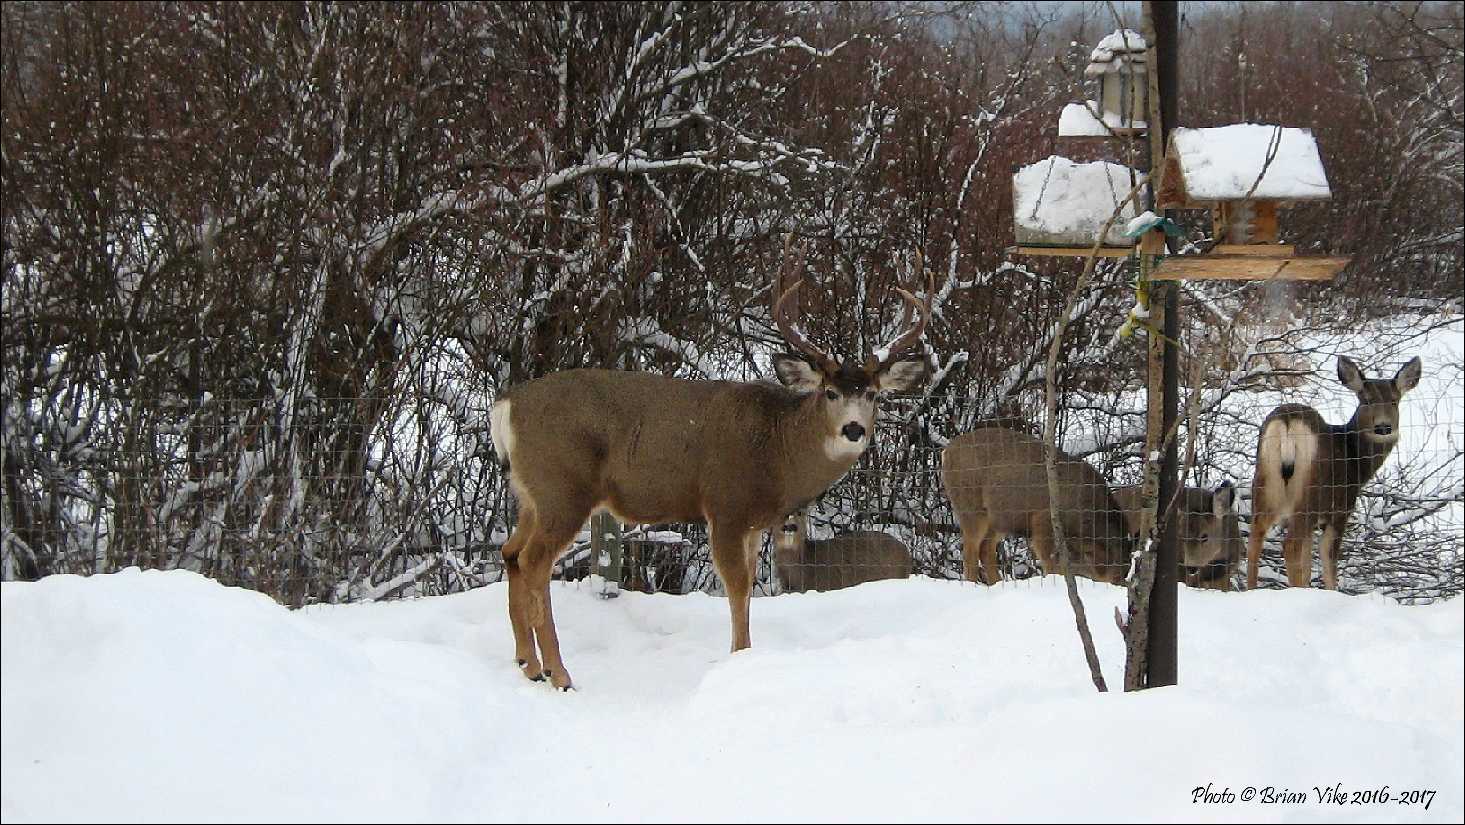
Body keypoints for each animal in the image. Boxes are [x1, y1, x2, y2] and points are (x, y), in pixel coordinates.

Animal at [940, 420, 1133, 586]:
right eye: (1111, 577)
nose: (1120, 582)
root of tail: (946, 452)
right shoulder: (1043, 521)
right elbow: (1051, 563)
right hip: (970, 506)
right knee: (970, 550)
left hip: (1000, 517)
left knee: (985, 549)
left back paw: (997, 583)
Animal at [1246, 355, 1422, 590]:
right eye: (1366, 400)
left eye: (1394, 401)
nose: (1383, 427)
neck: (1355, 462)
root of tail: (1287, 422)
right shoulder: (1338, 510)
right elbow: (1328, 563)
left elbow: (1307, 565)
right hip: (1309, 493)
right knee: (1290, 543)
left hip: (1265, 483)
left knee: (1255, 538)